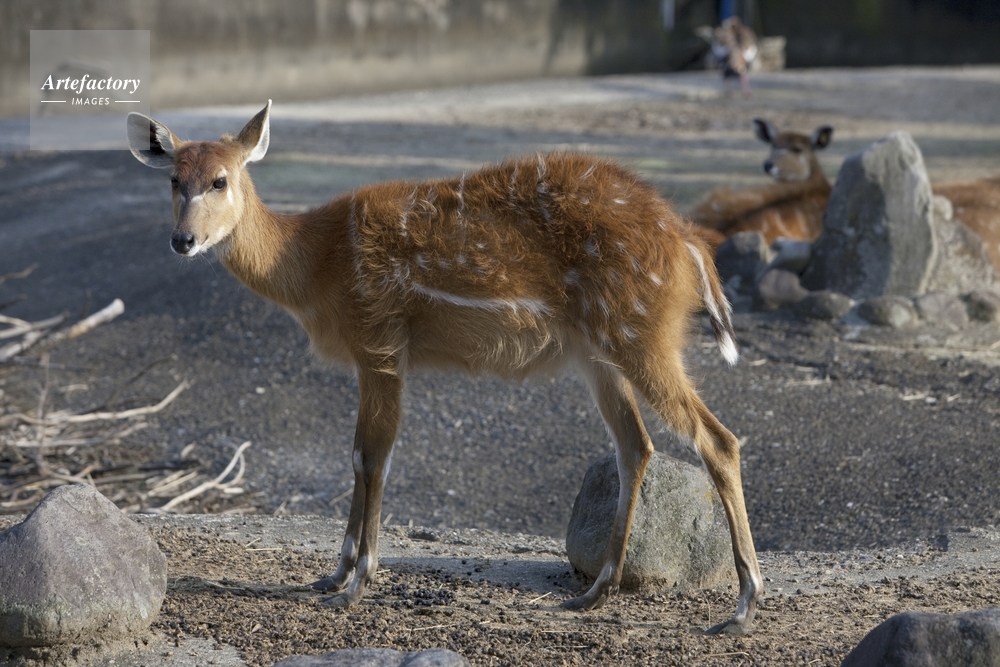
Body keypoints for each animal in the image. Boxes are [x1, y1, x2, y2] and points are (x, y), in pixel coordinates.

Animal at [126, 101, 764, 636]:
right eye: (173, 179)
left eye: (220, 179)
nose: (183, 240)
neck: (313, 264)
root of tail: (687, 241)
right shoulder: (372, 356)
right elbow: (354, 454)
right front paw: (331, 575)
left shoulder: (381, 341)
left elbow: (373, 456)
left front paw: (356, 583)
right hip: (597, 352)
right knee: (636, 445)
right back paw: (592, 593)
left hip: (642, 334)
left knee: (717, 439)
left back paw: (742, 606)